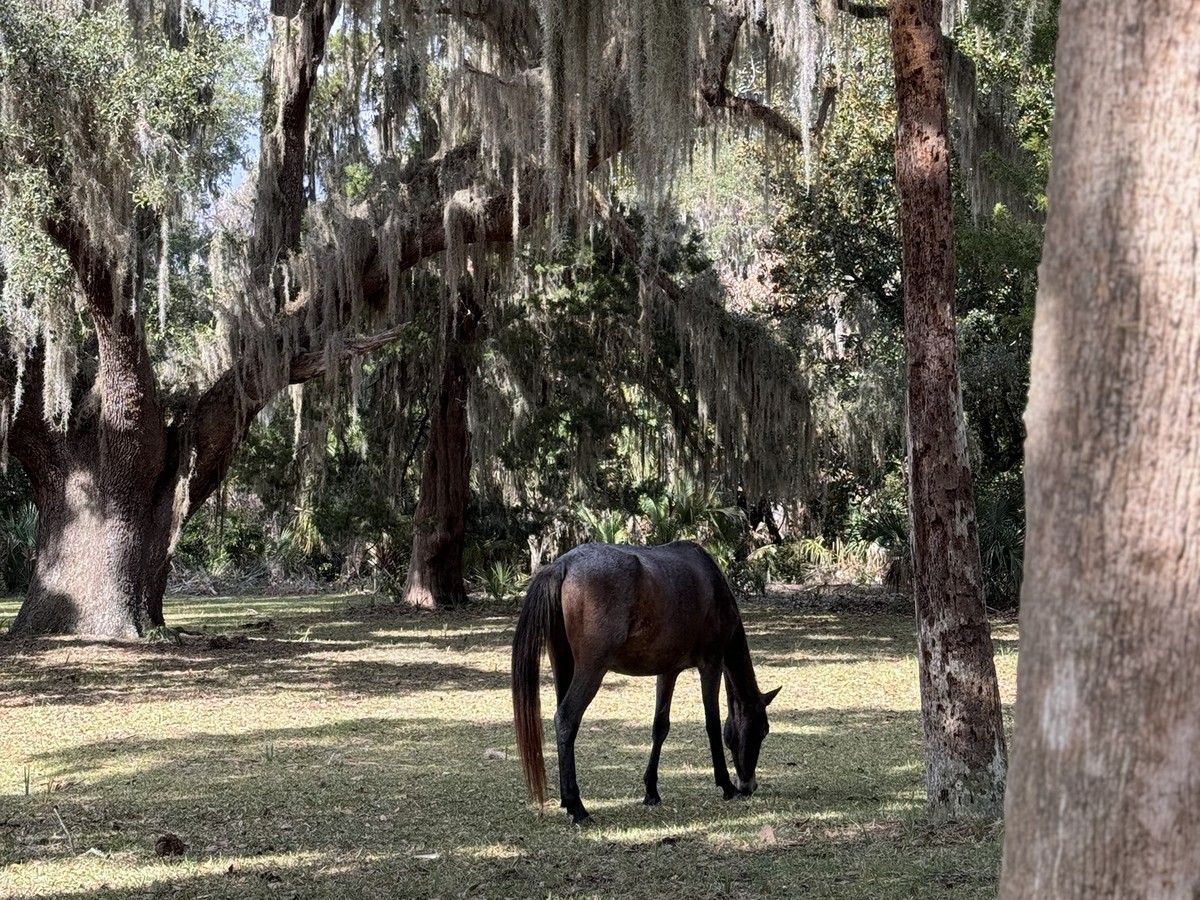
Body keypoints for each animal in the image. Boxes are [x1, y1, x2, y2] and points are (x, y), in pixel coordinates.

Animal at [511, 540, 779, 825]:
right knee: (566, 719)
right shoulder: (711, 664)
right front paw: (726, 785)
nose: (749, 786)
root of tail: (564, 564)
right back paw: (577, 806)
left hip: (563, 666)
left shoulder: (668, 671)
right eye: (763, 730)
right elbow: (712, 724)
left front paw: (651, 791)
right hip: (591, 670)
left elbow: (660, 726)